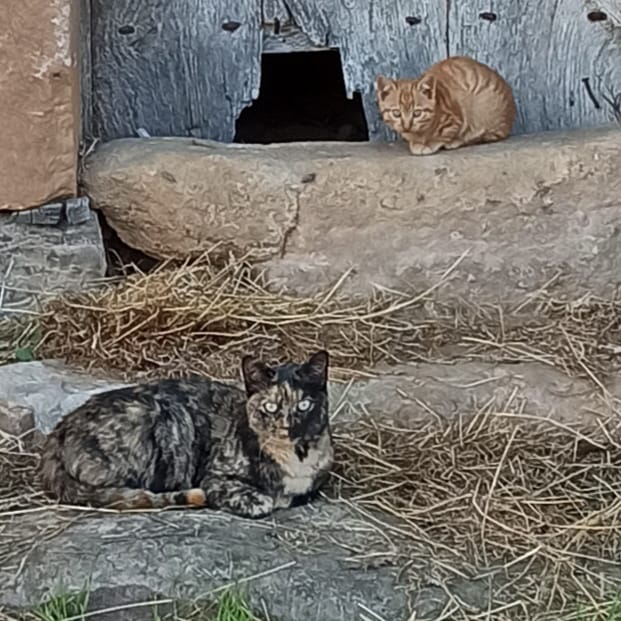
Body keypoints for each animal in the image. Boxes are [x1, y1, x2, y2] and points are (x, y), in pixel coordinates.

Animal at [39, 348, 334, 520]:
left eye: (304, 405)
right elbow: (245, 493)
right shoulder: (213, 476)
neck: (297, 458)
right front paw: (257, 499)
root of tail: (61, 428)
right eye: (271, 407)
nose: (288, 426)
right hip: (156, 417)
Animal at [376, 55, 516, 155]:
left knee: (481, 136)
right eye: (396, 113)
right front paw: (415, 142)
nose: (406, 125)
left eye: (417, 113)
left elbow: (444, 135)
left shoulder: (455, 119)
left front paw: (430, 143)